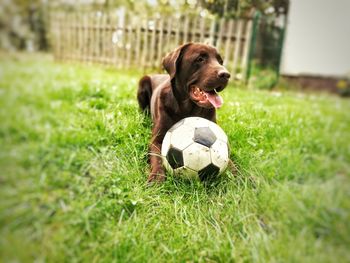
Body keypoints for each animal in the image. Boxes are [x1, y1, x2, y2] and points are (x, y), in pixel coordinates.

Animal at [138, 43, 231, 184]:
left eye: (220, 61)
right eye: (200, 59)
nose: (226, 74)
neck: (187, 110)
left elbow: (229, 159)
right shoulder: (156, 140)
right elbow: (157, 157)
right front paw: (156, 177)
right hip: (143, 83)